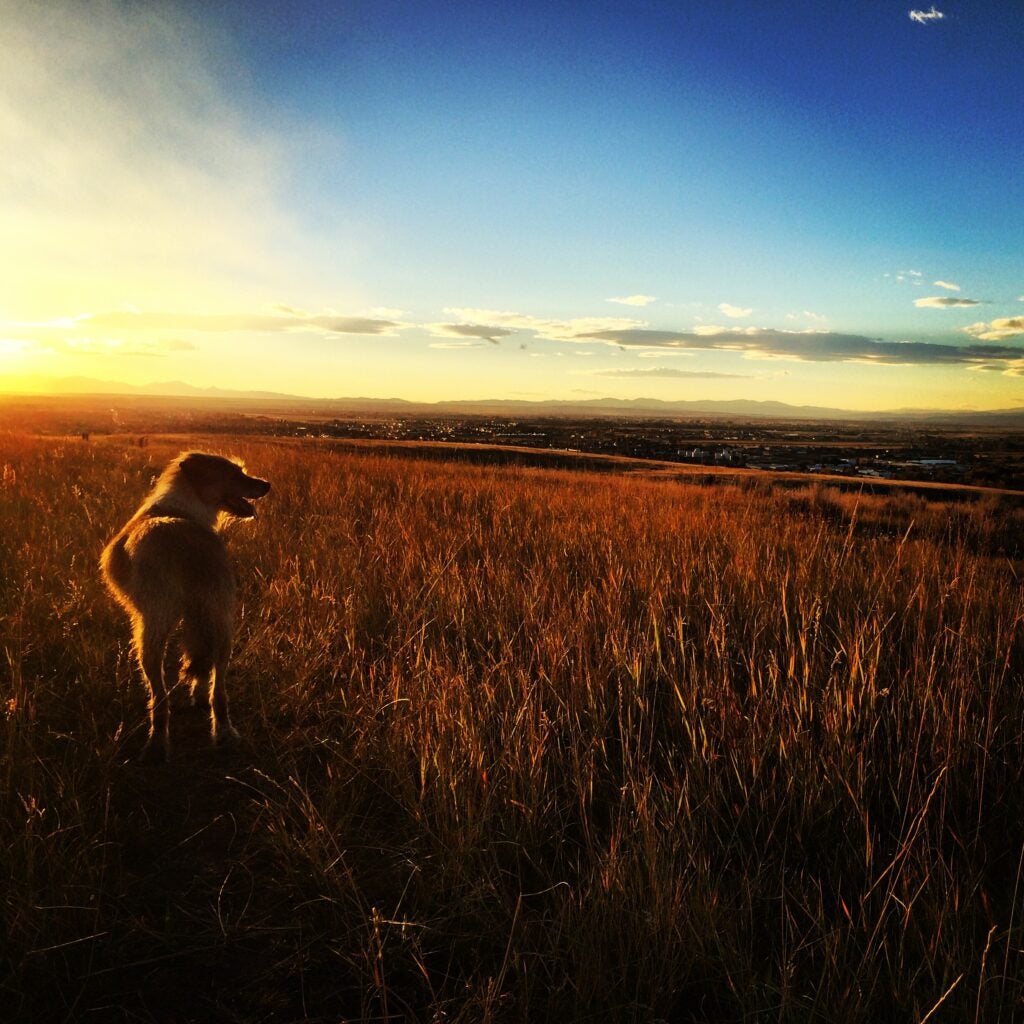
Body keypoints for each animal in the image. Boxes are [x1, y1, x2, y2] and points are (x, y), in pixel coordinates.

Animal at [97, 452, 268, 765]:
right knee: (218, 689)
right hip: (222, 622)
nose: (267, 485)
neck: (183, 510)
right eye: (235, 474)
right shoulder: (201, 618)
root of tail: (186, 544)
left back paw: (156, 744)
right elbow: (198, 664)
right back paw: (223, 731)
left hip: (149, 630)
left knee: (159, 697)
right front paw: (197, 695)